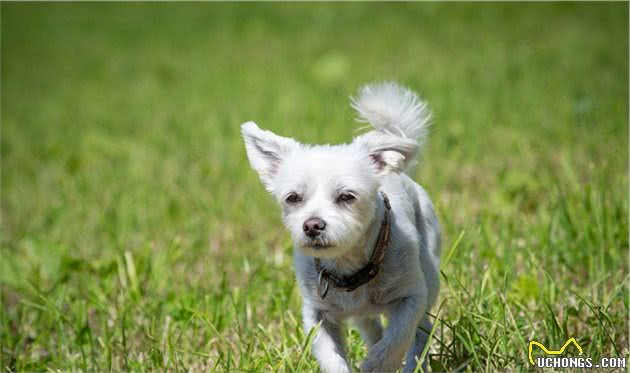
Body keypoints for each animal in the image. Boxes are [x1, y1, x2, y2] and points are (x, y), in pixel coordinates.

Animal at [242, 83, 444, 370]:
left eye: (347, 196)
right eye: (293, 198)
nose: (312, 225)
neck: (348, 267)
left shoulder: (411, 298)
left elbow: (396, 340)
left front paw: (376, 366)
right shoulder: (317, 315)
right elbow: (331, 357)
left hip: (429, 276)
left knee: (420, 333)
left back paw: (415, 365)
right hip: (363, 315)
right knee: (371, 327)